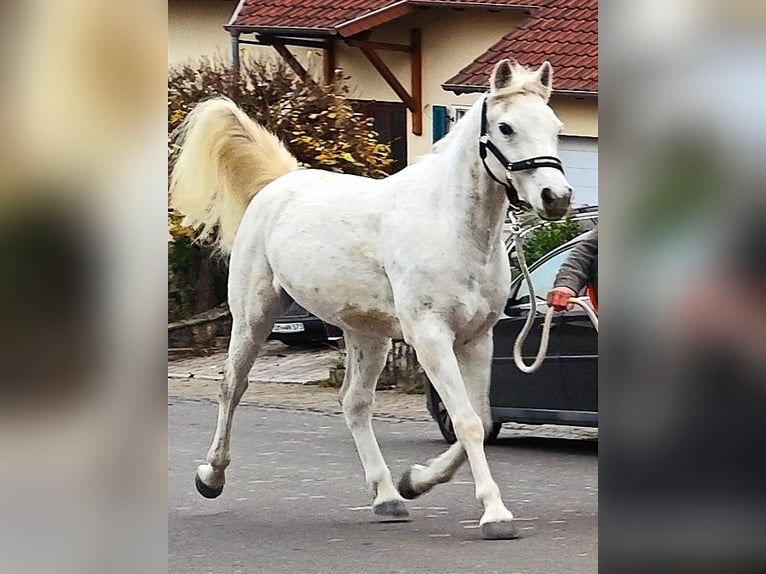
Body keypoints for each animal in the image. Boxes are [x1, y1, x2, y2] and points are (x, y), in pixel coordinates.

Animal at [171, 60, 572, 544]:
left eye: (555, 127)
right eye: (506, 127)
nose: (556, 198)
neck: (450, 227)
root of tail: (281, 183)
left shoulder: (476, 340)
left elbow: (477, 418)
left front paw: (415, 480)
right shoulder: (430, 337)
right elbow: (468, 423)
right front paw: (495, 514)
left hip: (366, 334)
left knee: (355, 404)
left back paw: (388, 496)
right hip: (253, 315)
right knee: (233, 386)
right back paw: (211, 476)